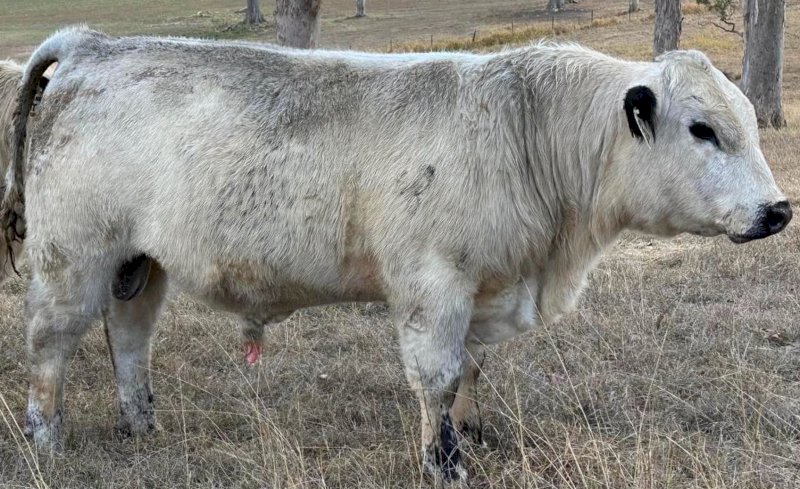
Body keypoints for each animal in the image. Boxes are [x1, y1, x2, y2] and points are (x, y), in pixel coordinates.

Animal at [4, 26, 791, 484]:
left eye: (748, 123)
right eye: (702, 129)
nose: (778, 210)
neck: (527, 130)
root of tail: (91, 45)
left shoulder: (481, 288)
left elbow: (470, 367)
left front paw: (471, 431)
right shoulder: (432, 285)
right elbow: (436, 376)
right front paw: (444, 461)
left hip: (142, 263)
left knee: (130, 338)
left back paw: (143, 424)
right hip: (73, 256)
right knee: (51, 342)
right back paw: (47, 437)